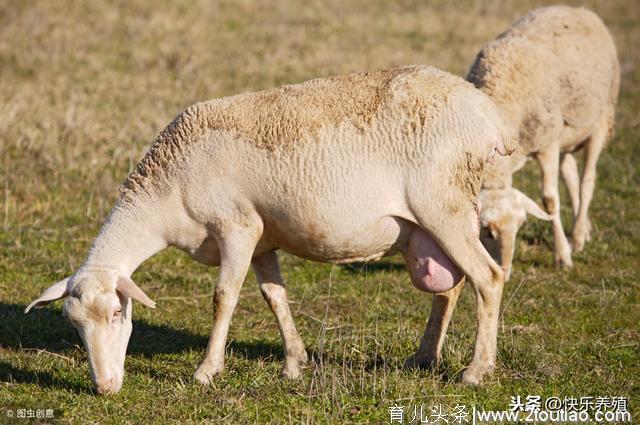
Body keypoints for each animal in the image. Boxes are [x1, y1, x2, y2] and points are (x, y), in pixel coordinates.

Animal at [26, 64, 516, 392]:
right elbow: (274, 296)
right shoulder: (262, 239)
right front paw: (295, 363)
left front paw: (207, 371)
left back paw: (476, 371)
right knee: (451, 287)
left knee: (488, 279)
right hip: (434, 222)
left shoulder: (236, 227)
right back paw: (425, 357)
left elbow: (224, 298)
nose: (104, 387)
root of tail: (486, 114)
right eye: (73, 324)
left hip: (444, 204)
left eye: (116, 313)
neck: (166, 195)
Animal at [464, 6, 620, 280]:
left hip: (600, 119)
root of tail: (577, 9)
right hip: (566, 134)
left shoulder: (547, 144)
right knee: (570, 175)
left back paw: (576, 237)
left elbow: (550, 200)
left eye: (520, 227)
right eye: (487, 230)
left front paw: (563, 256)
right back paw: (583, 230)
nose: (504, 272)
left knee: (587, 180)